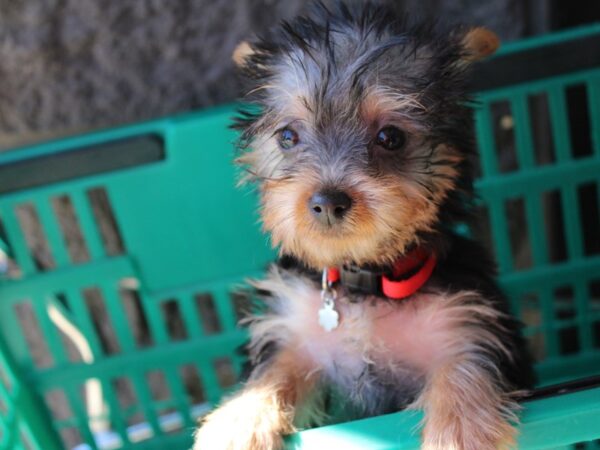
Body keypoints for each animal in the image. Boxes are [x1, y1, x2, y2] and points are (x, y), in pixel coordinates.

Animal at [195, 3, 532, 450]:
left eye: (390, 137)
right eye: (288, 136)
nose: (327, 202)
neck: (364, 282)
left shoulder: (466, 322)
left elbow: (466, 364)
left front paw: (461, 430)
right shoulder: (294, 335)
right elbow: (273, 370)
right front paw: (236, 421)